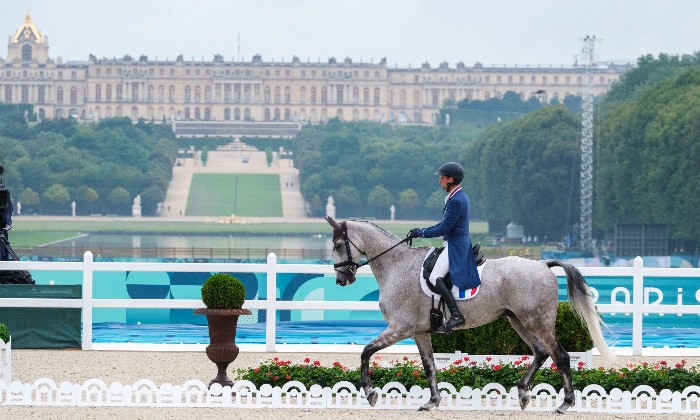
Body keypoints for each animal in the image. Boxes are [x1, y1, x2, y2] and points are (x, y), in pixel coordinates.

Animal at [324, 217, 612, 414]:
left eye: (338, 244)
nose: (341, 279)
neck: (397, 266)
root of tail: (543, 264)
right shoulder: (419, 332)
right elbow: (429, 366)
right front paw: (432, 402)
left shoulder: (400, 327)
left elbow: (366, 352)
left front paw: (370, 392)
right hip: (518, 320)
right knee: (541, 353)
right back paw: (522, 394)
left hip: (536, 321)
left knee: (560, 356)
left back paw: (564, 404)